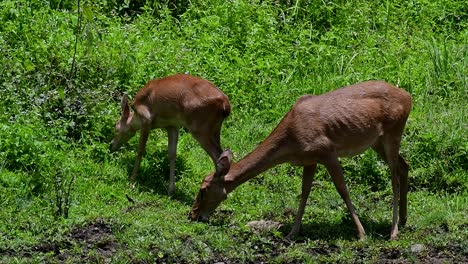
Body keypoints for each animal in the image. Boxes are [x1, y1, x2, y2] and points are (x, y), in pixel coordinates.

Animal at [189, 81, 410, 241]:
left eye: (203, 189)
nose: (193, 215)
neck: (290, 143)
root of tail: (408, 97)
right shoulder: (309, 160)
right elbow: (304, 192)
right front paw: (292, 233)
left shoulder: (327, 151)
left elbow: (342, 190)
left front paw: (361, 234)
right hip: (377, 142)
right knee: (404, 165)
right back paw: (404, 220)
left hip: (393, 132)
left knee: (394, 178)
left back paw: (393, 232)